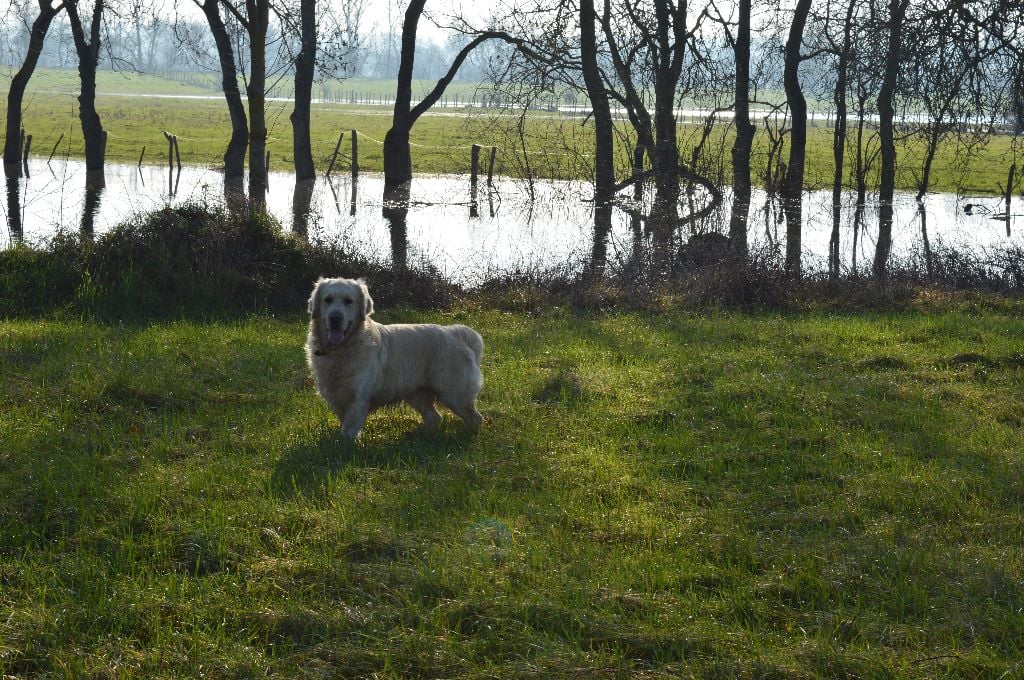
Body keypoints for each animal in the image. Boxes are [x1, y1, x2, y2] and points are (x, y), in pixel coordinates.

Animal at [303, 278, 483, 438]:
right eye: (327, 300)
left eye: (349, 301)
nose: (335, 318)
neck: (339, 350)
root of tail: (455, 333)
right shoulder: (337, 397)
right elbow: (343, 425)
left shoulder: (357, 399)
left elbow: (348, 431)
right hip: (417, 394)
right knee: (434, 417)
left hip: (455, 394)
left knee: (475, 418)